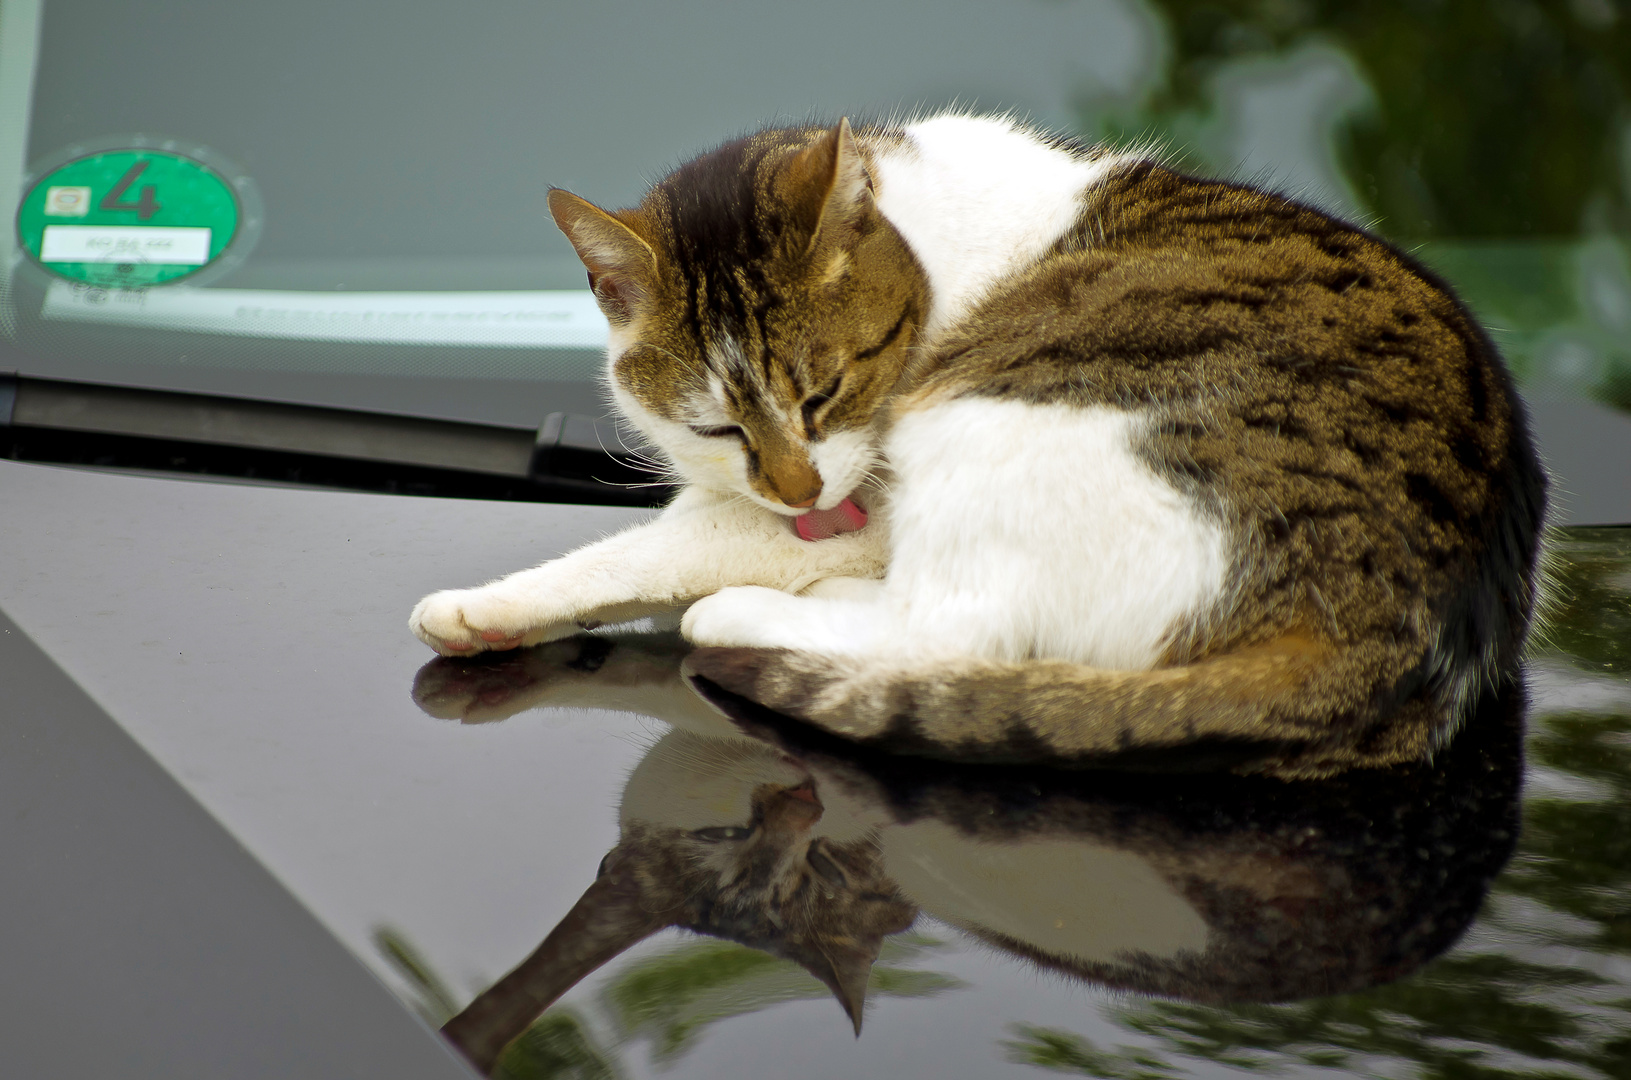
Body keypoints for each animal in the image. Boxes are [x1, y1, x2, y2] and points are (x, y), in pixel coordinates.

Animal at [407, 111, 1539, 779]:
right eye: (715, 425)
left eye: (824, 392)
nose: (798, 489)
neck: (922, 236)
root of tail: (1409, 625)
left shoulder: (865, 497)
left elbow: (660, 545)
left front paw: (485, 607)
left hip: (1008, 419)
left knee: (952, 627)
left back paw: (761, 615)